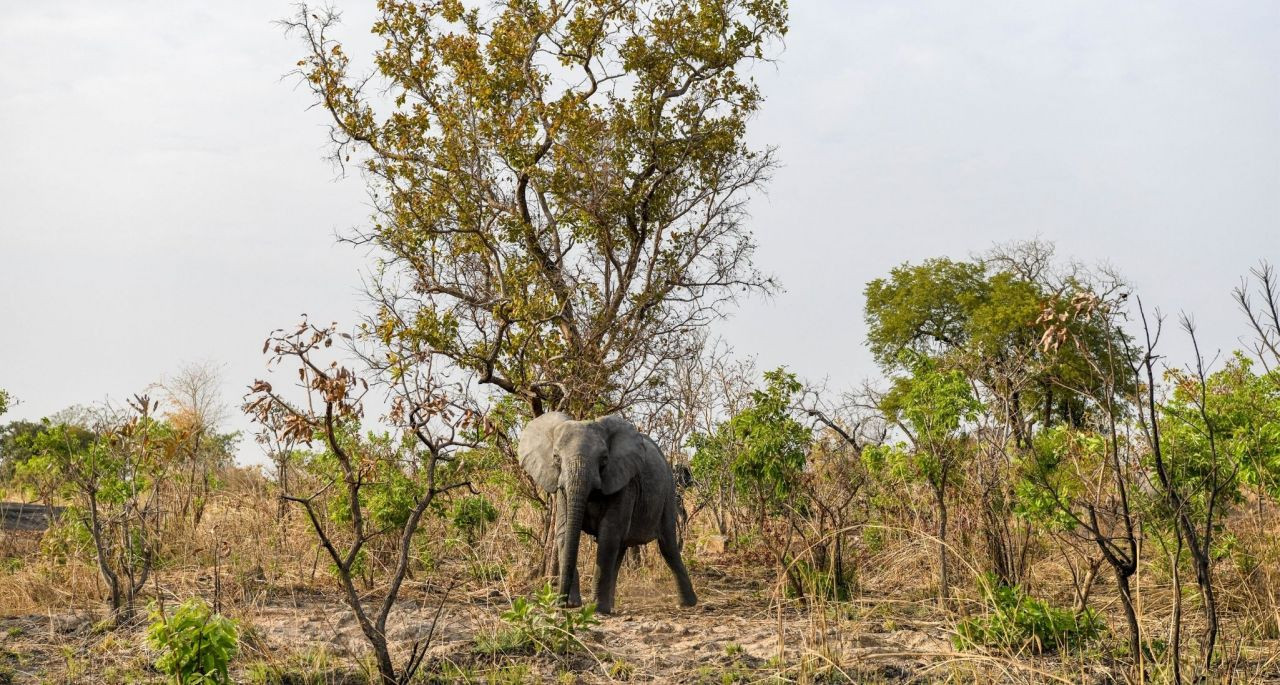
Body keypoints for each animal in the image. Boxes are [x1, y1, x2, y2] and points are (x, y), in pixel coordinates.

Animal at [517, 409, 701, 614]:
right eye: (556, 458)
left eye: (604, 459)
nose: (560, 605)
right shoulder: (560, 487)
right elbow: (564, 533)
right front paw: (574, 605)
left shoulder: (624, 482)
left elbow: (608, 535)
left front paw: (595, 609)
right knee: (621, 549)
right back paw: (611, 605)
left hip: (668, 491)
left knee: (668, 547)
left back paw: (687, 603)